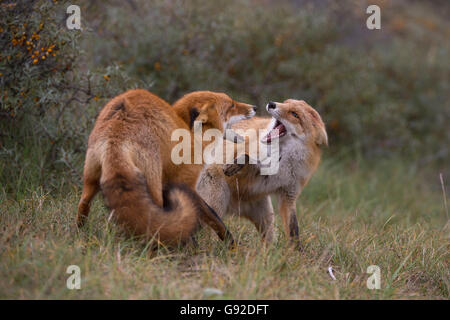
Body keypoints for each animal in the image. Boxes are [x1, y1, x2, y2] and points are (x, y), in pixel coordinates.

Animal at [196, 99, 326, 244]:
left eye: (294, 114)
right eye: (286, 102)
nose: (272, 103)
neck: (282, 160)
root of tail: (234, 210)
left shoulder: (289, 194)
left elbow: (294, 231)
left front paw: (296, 250)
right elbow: (247, 157)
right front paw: (234, 165)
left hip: (266, 217)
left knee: (267, 240)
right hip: (215, 204)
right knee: (209, 233)